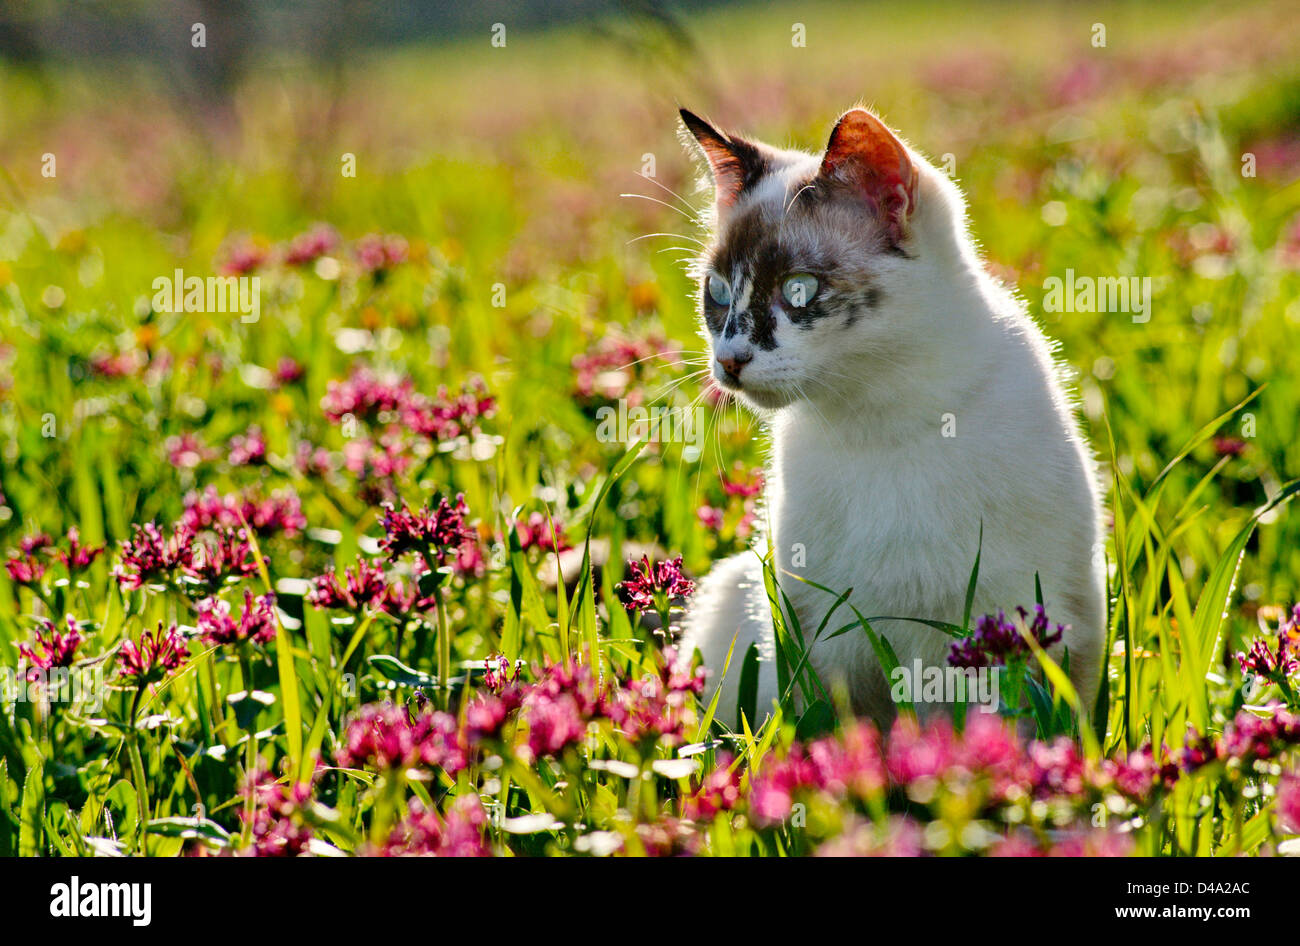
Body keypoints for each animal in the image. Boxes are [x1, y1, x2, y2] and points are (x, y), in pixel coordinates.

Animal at [670, 105, 1107, 722]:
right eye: (718, 291)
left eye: (799, 290)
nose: (729, 361)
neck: (877, 418)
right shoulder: (820, 640)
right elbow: (838, 736)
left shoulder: (1004, 623)